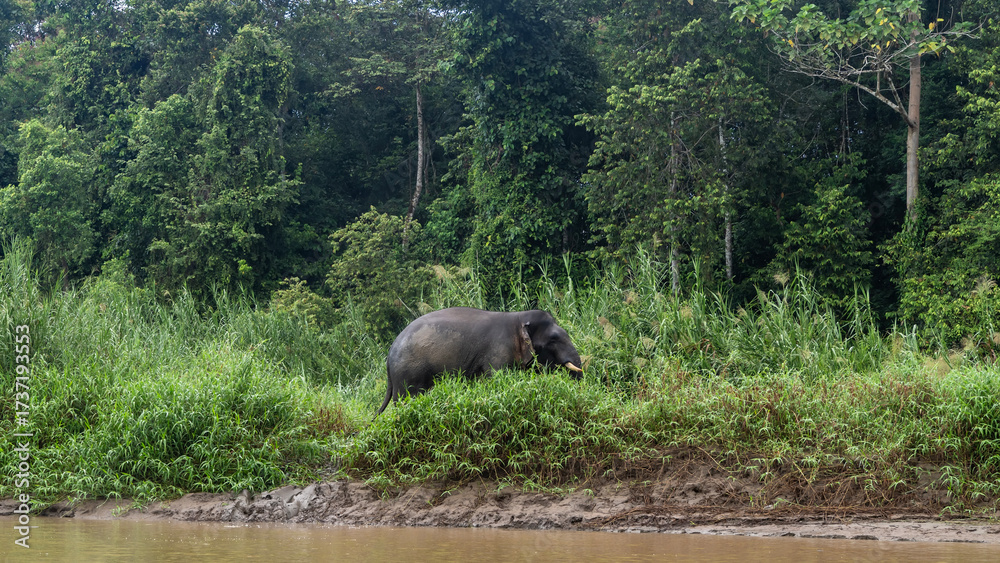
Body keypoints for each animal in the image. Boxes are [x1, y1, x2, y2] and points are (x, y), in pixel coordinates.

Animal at [375, 307, 583, 416]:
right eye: (554, 339)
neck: (518, 316)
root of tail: (389, 356)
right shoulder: (499, 351)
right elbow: (497, 380)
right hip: (409, 374)